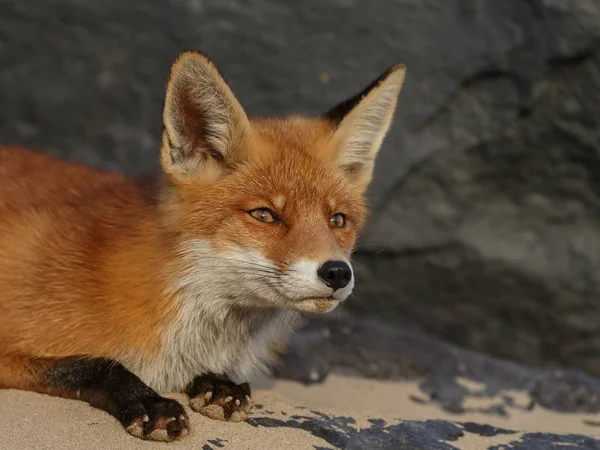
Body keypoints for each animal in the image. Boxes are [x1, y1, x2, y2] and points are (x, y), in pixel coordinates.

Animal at [0, 51, 408, 442]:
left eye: (337, 220)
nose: (337, 272)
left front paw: (219, 386)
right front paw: (148, 402)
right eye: (264, 215)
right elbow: (97, 364)